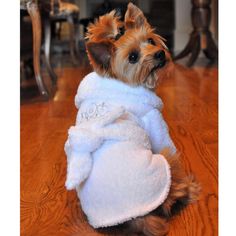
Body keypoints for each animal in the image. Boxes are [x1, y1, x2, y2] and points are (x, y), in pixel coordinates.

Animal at [65, 2, 201, 236]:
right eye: (133, 57)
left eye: (151, 41)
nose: (159, 54)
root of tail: (138, 219)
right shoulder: (154, 121)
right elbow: (166, 141)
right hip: (164, 164)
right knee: (174, 187)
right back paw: (190, 189)